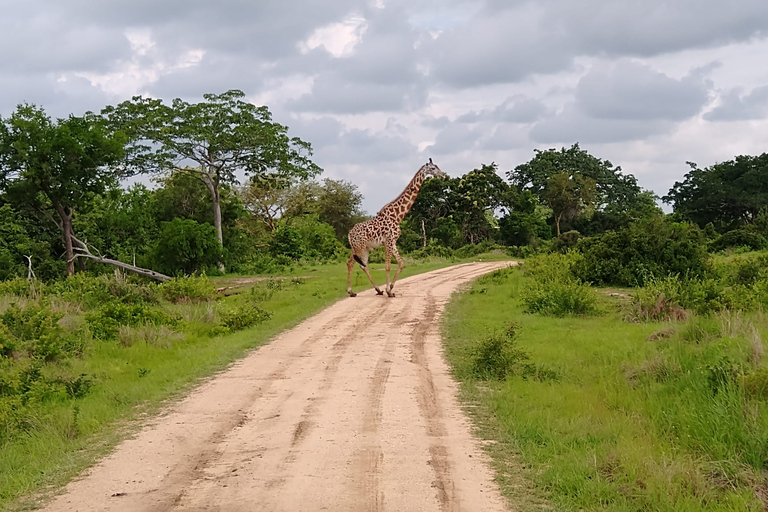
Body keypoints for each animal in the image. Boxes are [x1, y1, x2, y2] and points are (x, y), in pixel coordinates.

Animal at [346, 158, 448, 298]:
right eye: (433, 168)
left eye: (437, 166)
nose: (443, 175)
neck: (398, 215)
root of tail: (349, 234)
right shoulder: (388, 241)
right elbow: (388, 266)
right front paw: (389, 291)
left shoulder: (393, 242)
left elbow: (401, 263)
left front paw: (390, 289)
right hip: (358, 247)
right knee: (350, 263)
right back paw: (351, 291)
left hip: (365, 248)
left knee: (363, 265)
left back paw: (378, 290)